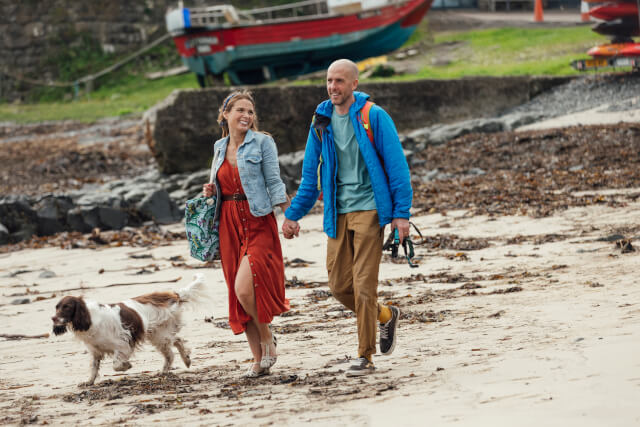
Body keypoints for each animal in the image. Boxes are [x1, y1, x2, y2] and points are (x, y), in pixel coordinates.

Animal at [52, 274, 209, 388]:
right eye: (57, 307)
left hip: (160, 335)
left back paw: (180, 362)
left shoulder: (123, 344)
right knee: (174, 345)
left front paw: (127, 365)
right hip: (158, 335)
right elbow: (94, 368)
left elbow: (116, 365)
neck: (90, 319)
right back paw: (174, 366)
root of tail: (173, 295)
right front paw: (89, 381)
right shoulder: (96, 351)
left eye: (67, 307)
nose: (53, 318)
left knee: (174, 346)